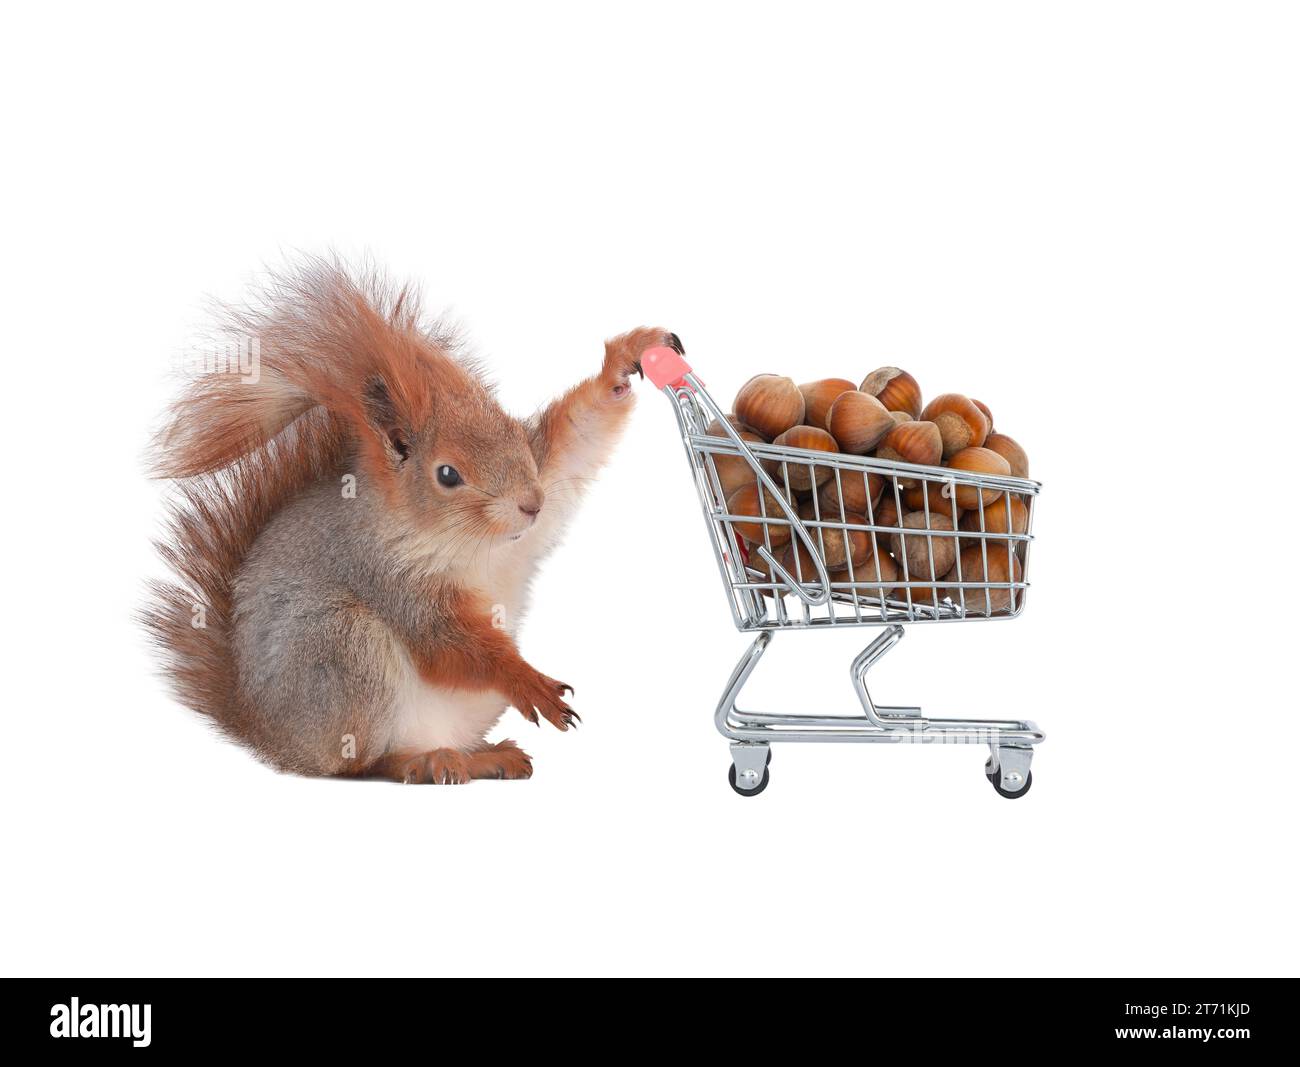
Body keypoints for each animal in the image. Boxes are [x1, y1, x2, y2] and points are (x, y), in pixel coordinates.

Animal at [144, 257, 679, 783]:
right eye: (447, 474)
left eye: (512, 431)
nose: (532, 504)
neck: (466, 542)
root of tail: (268, 736)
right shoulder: (390, 580)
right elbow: (451, 645)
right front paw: (527, 680)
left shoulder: (543, 492)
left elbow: (577, 438)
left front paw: (629, 355)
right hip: (344, 651)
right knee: (360, 763)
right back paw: (422, 762)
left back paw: (483, 757)